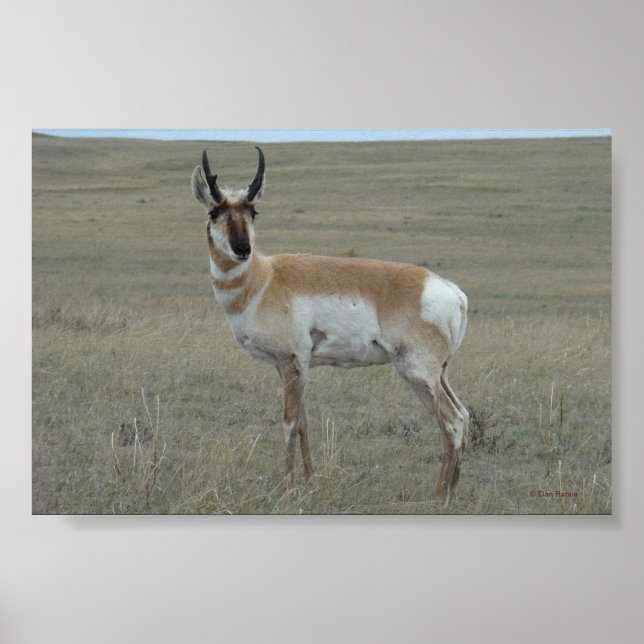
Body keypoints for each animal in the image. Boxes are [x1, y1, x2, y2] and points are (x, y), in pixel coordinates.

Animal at [191, 147, 469, 506]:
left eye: (253, 211)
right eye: (214, 211)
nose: (242, 249)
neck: (264, 279)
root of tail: (451, 291)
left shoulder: (293, 362)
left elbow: (289, 422)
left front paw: (288, 488)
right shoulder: (289, 367)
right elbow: (304, 423)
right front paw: (310, 483)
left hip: (418, 373)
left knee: (451, 421)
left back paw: (438, 498)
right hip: (441, 374)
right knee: (464, 414)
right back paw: (453, 492)